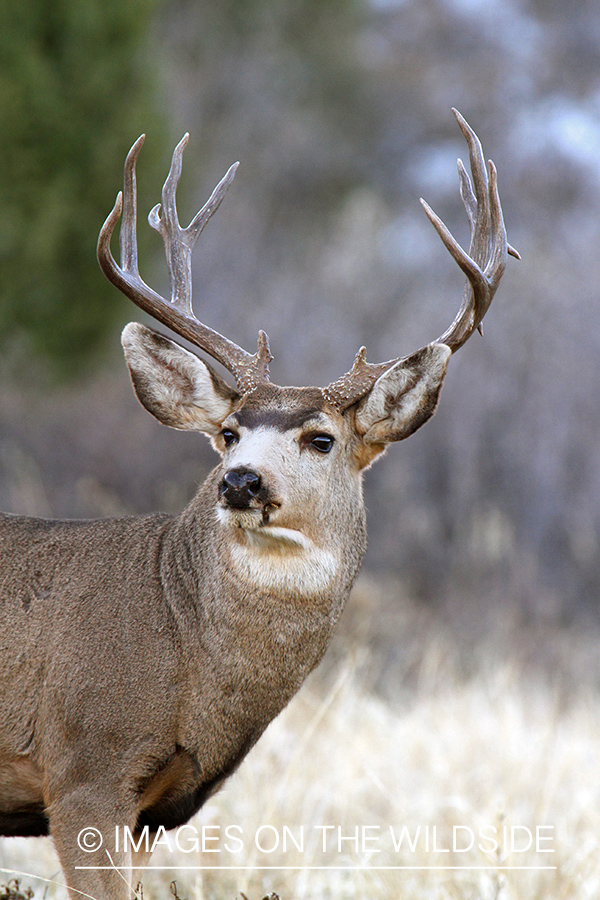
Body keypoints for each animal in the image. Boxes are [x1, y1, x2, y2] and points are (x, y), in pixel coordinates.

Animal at [0, 109, 516, 896]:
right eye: (229, 432)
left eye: (322, 438)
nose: (240, 481)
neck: (184, 648)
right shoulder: (85, 764)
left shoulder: (150, 808)